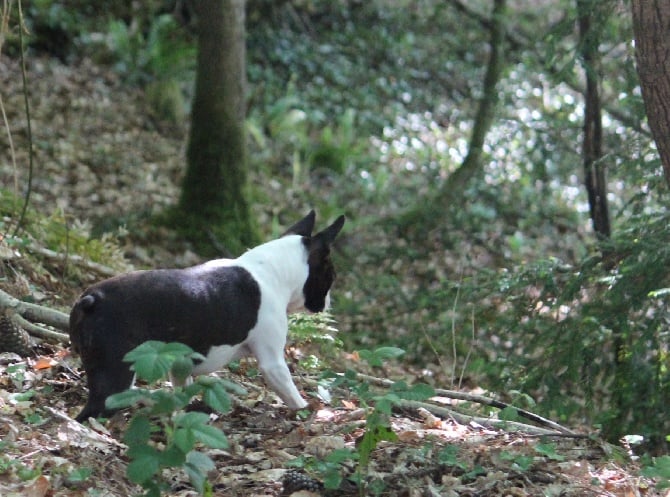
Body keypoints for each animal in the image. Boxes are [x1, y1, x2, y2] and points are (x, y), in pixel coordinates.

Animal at [69, 210, 346, 422]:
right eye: (331, 277)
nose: (329, 302)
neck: (271, 272)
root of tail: (92, 299)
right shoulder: (273, 363)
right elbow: (292, 394)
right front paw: (309, 413)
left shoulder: (180, 366)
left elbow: (182, 392)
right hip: (116, 373)